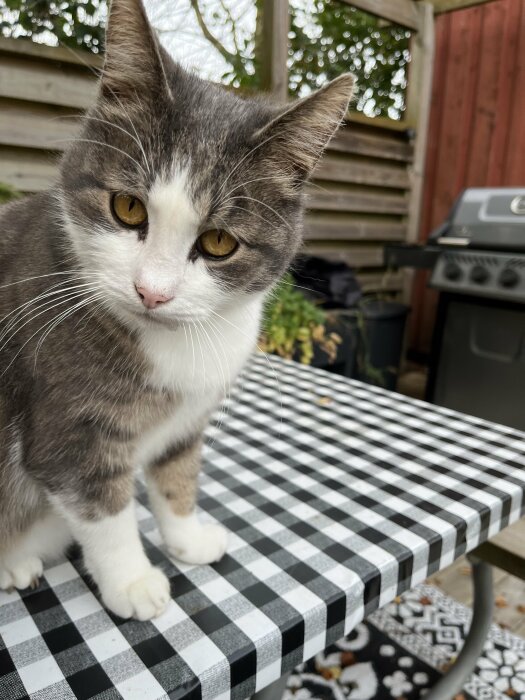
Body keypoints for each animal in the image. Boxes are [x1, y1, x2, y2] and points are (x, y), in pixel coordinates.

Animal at [0, 0, 354, 616]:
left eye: (219, 242)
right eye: (126, 207)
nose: (152, 291)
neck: (177, 343)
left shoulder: (189, 416)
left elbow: (177, 472)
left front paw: (187, 538)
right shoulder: (66, 426)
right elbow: (102, 504)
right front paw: (132, 582)